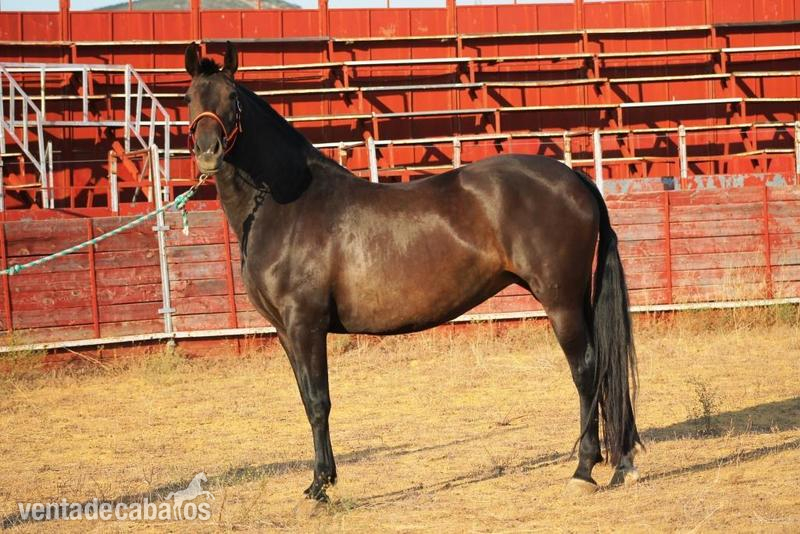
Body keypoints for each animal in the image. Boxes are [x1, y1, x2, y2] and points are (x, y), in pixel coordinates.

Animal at [183, 41, 641, 503]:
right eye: (189, 98)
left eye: (232, 98)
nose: (208, 151)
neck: (289, 204)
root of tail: (576, 180)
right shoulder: (284, 331)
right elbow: (306, 399)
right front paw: (321, 481)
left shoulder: (304, 325)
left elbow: (318, 401)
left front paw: (320, 485)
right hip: (578, 300)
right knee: (605, 366)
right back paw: (624, 462)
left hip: (561, 301)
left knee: (586, 370)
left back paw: (584, 469)